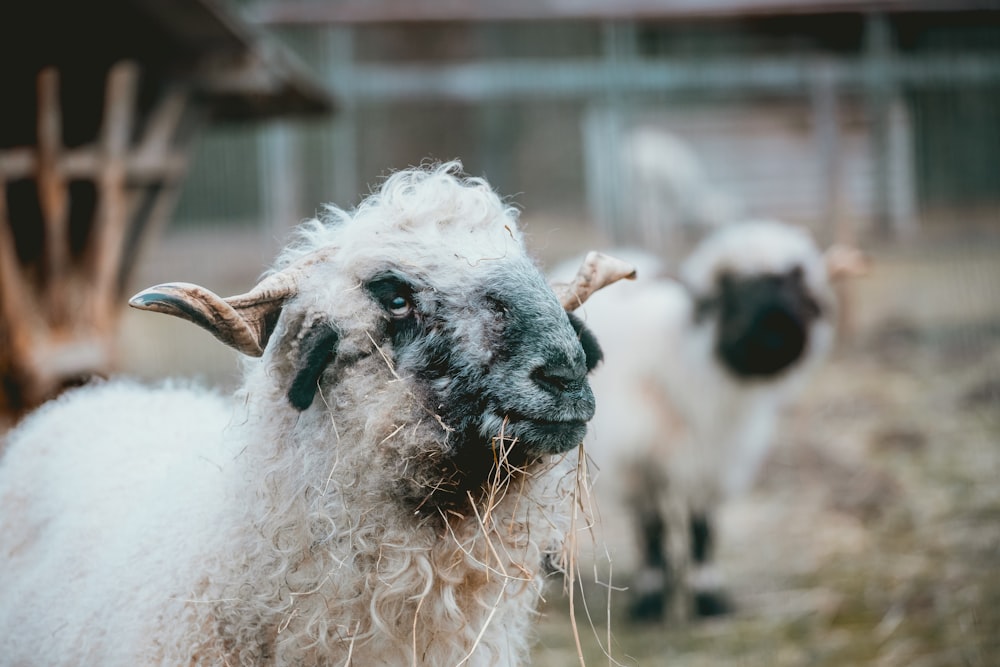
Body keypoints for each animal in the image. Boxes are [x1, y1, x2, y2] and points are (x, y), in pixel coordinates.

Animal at [560, 222, 864, 624]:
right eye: (736, 294)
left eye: (796, 290)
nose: (780, 330)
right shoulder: (638, 464)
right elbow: (652, 530)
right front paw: (651, 601)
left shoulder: (712, 461)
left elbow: (701, 530)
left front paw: (707, 599)